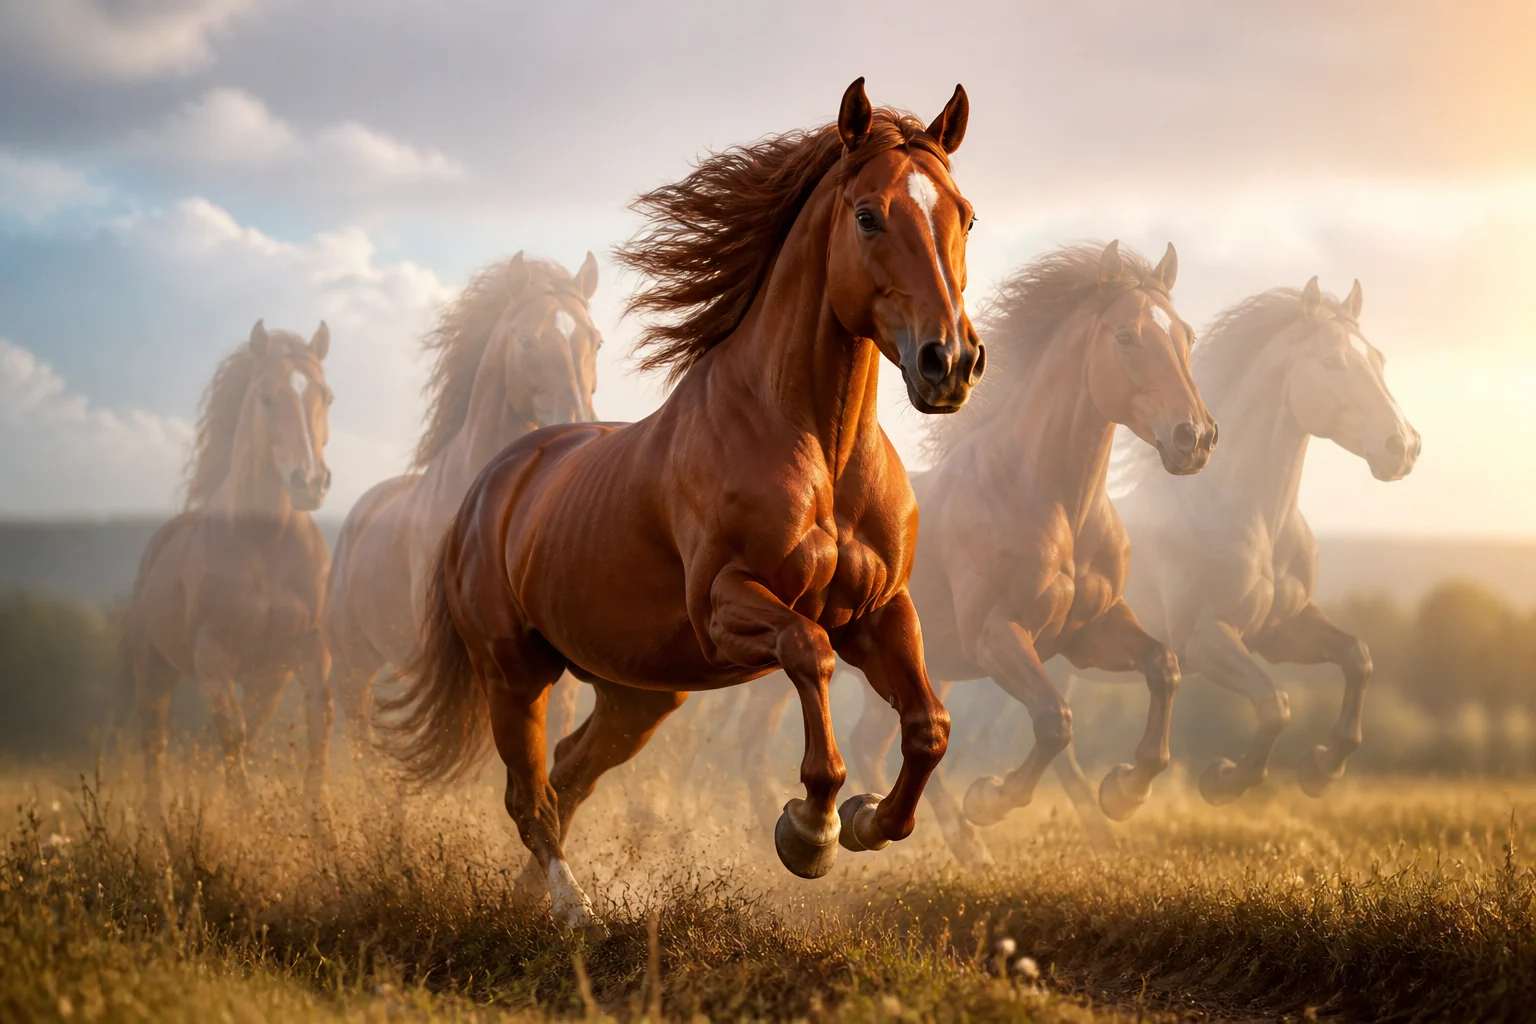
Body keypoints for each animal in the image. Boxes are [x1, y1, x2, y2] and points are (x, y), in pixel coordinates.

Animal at [124, 320, 335, 819]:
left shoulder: (306, 653)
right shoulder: (213, 656)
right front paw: (245, 822)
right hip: (153, 674)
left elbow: (315, 730)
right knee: (154, 751)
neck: (267, 544)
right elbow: (232, 738)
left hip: (261, 679)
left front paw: (325, 832)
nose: (310, 483)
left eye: (327, 396)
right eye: (265, 396)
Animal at [384, 78, 983, 931]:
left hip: (638, 694)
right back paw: (573, 909)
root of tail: (489, 487)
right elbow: (809, 651)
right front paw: (809, 831)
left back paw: (535, 897)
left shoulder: (880, 610)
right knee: (530, 797)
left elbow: (930, 727)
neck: (818, 448)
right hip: (515, 674)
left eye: (964, 215)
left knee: (567, 775)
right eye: (869, 215)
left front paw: (869, 820)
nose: (950, 363)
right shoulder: (725, 605)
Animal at [737, 241, 1216, 864]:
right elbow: (1055, 719)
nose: (1195, 438)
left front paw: (1124, 791)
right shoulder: (997, 636)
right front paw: (991, 799)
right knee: (757, 745)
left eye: (1187, 335)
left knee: (869, 741)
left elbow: (1165, 668)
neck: (1054, 503)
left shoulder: (1088, 634)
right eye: (1127, 336)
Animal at [1113, 276, 1419, 805]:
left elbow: (1357, 658)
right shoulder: (1204, 638)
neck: (1250, 520)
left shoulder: (1279, 631)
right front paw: (1223, 779)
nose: (1403, 447)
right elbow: (1276, 703)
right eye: (1332, 361)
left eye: (1379, 359)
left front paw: (1322, 767)